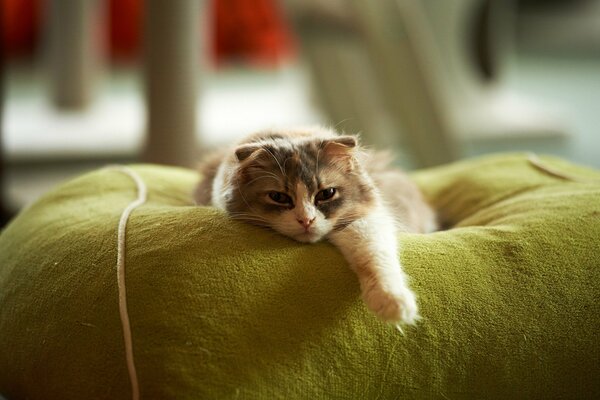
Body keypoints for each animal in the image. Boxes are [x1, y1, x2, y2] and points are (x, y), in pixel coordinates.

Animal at [196, 126, 436, 326]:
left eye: (326, 194)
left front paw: (393, 303)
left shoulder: (365, 221)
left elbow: (375, 258)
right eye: (278, 197)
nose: (306, 220)